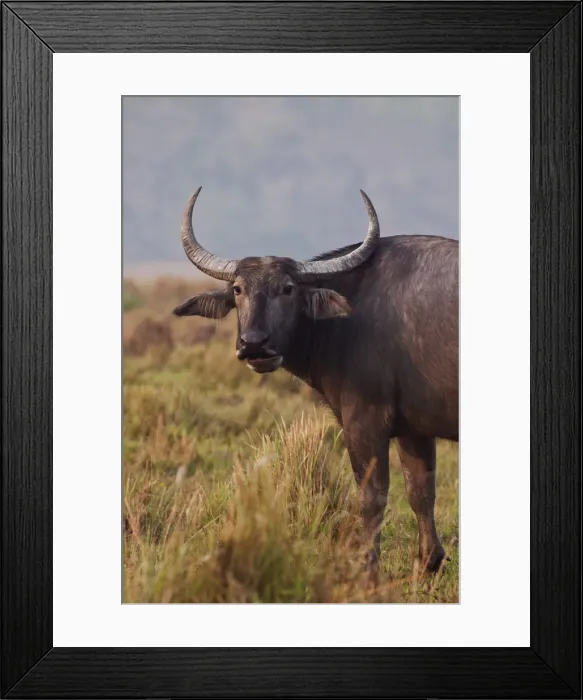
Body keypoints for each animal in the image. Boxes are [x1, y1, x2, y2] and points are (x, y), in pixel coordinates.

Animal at [174, 187, 458, 575]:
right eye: (237, 289)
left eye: (288, 288)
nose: (254, 345)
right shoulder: (413, 430)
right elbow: (421, 494)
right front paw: (429, 564)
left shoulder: (364, 421)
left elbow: (372, 497)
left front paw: (368, 572)